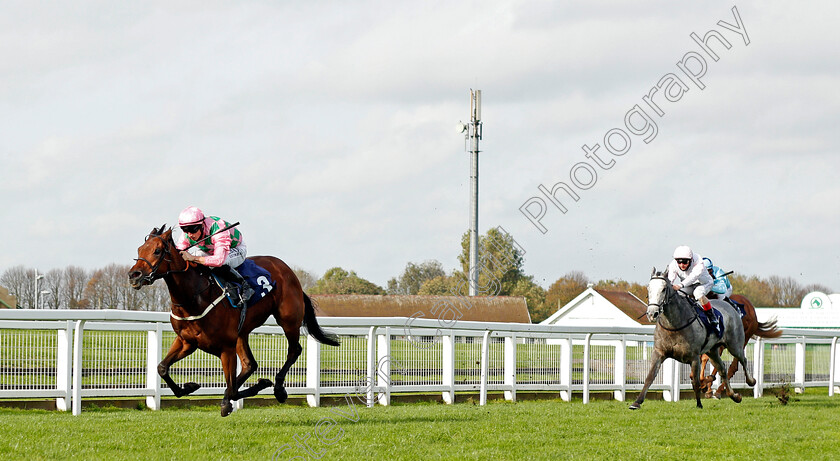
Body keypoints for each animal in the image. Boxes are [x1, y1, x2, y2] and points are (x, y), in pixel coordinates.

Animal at [128, 225, 338, 416]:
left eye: (157, 250)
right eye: (139, 249)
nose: (133, 275)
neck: (195, 296)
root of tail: (288, 271)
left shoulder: (226, 347)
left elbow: (231, 388)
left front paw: (229, 401)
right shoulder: (187, 341)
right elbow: (162, 367)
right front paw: (189, 387)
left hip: (288, 320)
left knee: (294, 350)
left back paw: (279, 389)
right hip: (242, 332)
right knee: (249, 365)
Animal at [628, 268, 756, 408]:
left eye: (663, 289)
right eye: (648, 288)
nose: (652, 313)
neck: (674, 324)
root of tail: (731, 307)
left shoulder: (694, 357)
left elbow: (696, 381)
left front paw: (699, 403)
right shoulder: (659, 353)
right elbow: (650, 377)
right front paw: (637, 402)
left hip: (735, 345)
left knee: (742, 359)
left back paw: (751, 381)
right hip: (713, 350)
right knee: (722, 368)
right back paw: (734, 396)